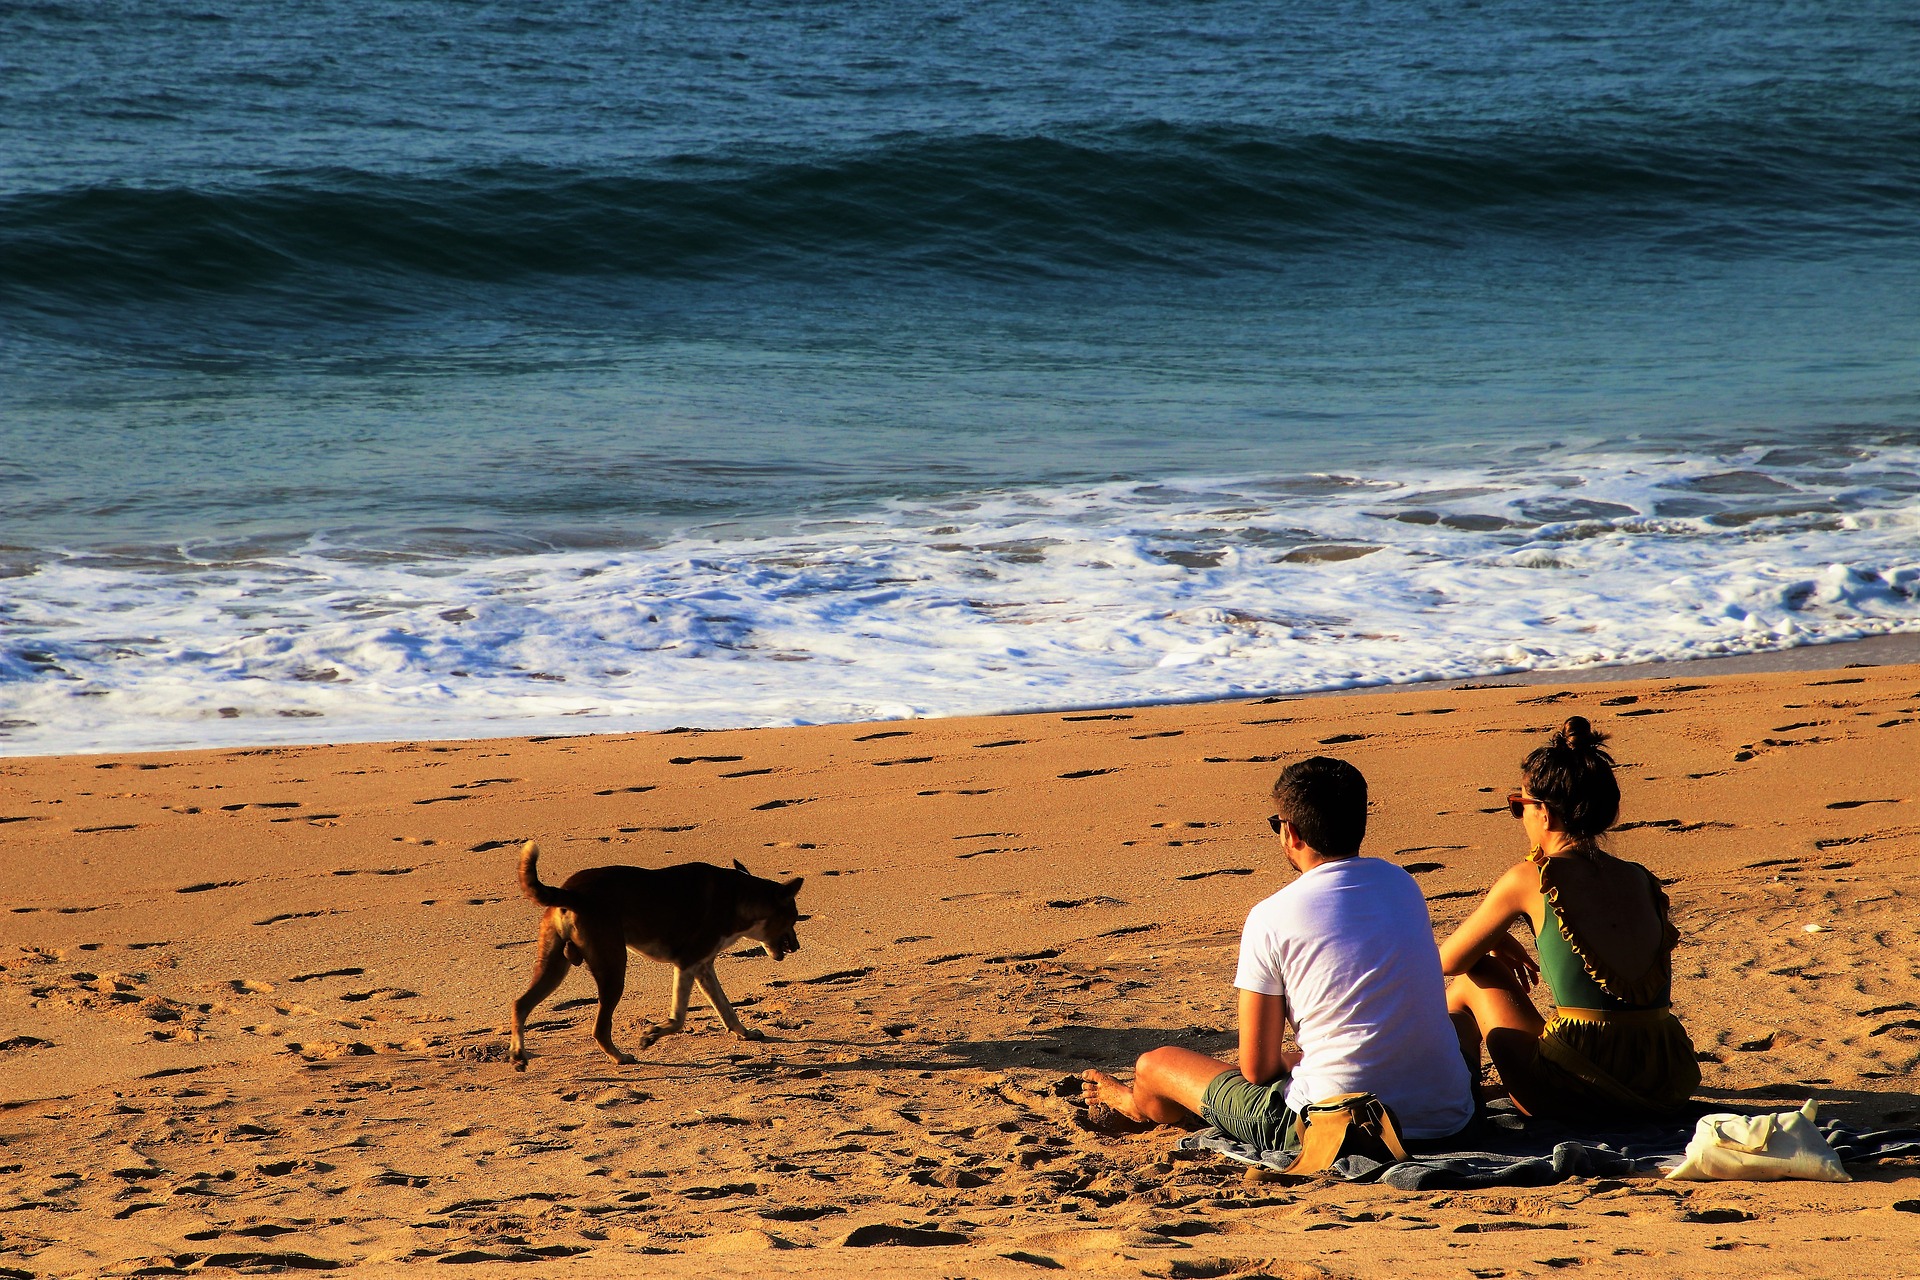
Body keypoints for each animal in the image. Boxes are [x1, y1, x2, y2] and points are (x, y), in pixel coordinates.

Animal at [506, 840, 798, 1074]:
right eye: (794, 919)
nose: (796, 947)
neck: (739, 896)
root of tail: (571, 893)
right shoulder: (687, 963)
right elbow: (678, 1019)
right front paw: (652, 1035)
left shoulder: (702, 967)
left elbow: (726, 1008)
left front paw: (745, 1033)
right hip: (613, 969)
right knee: (599, 1028)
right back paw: (620, 1057)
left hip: (554, 966)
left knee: (520, 1004)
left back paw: (518, 1055)